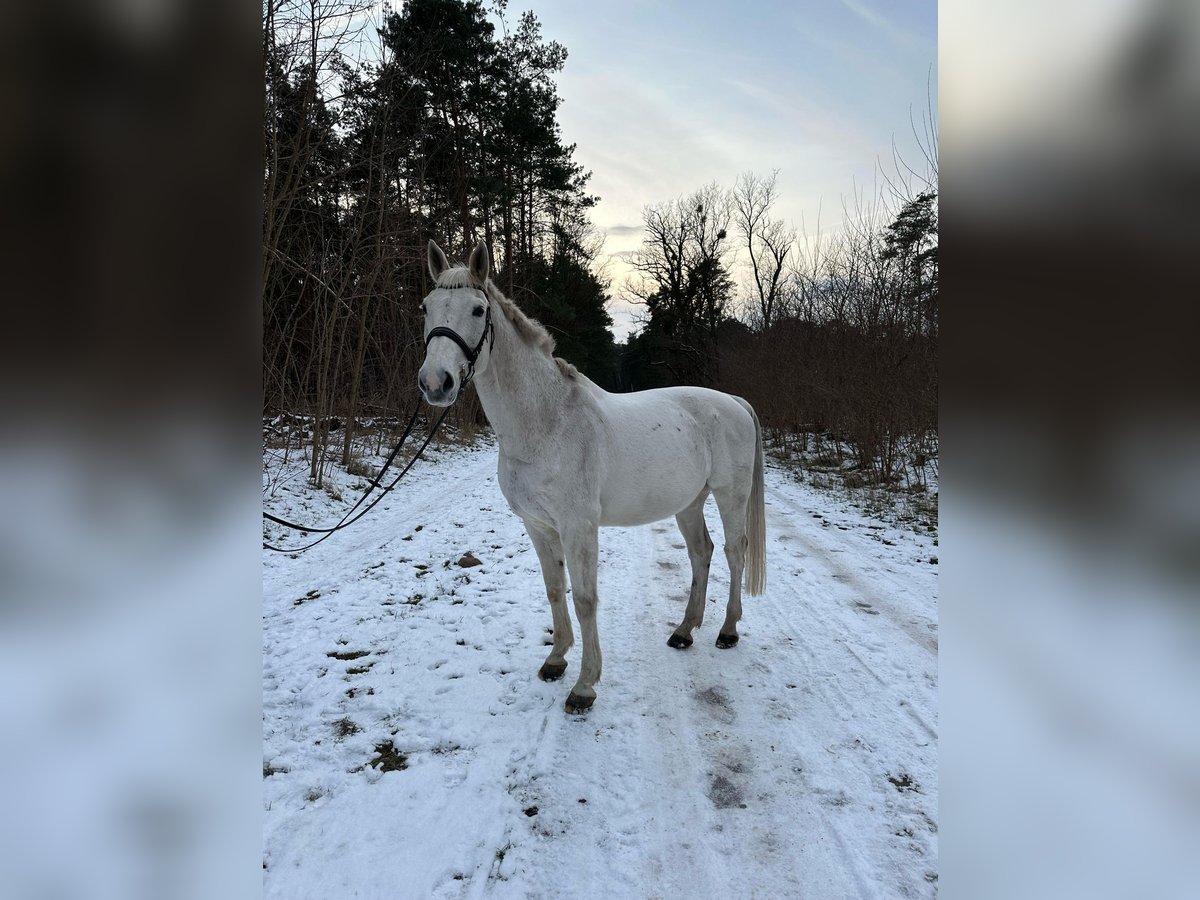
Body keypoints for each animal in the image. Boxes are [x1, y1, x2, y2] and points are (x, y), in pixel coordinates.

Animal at [418, 239, 766, 713]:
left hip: (731, 496)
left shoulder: (578, 526)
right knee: (702, 552)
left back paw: (728, 631)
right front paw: (555, 661)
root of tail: (733, 401)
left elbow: (585, 599)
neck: (546, 423)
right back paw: (683, 632)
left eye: (477, 309)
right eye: (426, 307)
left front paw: (585, 686)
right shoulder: (538, 526)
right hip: (689, 503)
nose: (436, 383)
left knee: (733, 552)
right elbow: (554, 589)